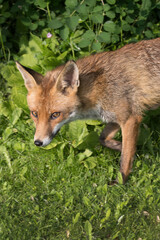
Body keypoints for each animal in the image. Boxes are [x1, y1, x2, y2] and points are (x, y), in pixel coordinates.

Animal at [16, 38, 160, 184]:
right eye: (34, 114)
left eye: (55, 115)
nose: (38, 142)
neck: (99, 86)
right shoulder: (114, 117)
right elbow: (103, 139)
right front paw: (131, 150)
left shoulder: (130, 118)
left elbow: (125, 157)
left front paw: (120, 182)